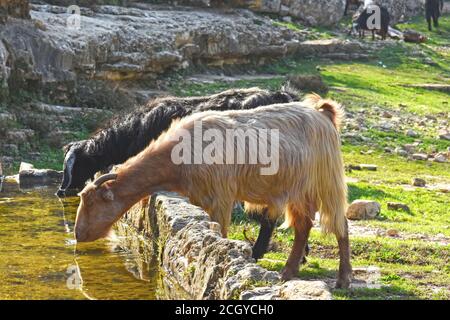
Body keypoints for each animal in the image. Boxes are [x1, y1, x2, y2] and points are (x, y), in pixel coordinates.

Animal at [74, 94, 352, 288]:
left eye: (93, 203)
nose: (78, 235)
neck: (178, 155)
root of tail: (323, 113)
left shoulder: (220, 197)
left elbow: (221, 233)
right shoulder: (199, 197)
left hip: (327, 183)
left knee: (341, 226)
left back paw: (343, 279)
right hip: (298, 191)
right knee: (303, 226)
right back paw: (287, 272)